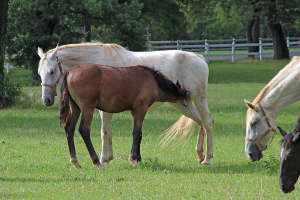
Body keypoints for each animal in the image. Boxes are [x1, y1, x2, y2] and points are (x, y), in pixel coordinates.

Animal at [59, 63, 190, 168]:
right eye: (187, 95)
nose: (188, 105)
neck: (153, 80)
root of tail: (70, 71)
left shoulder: (134, 112)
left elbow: (138, 134)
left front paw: (138, 157)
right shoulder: (141, 109)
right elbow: (137, 133)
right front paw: (133, 159)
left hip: (75, 108)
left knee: (69, 129)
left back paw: (75, 161)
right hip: (87, 108)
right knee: (84, 130)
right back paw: (96, 162)